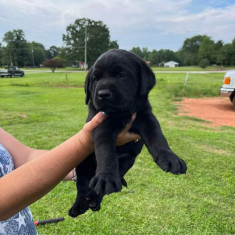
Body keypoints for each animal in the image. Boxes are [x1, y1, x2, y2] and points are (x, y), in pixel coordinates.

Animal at [68, 48, 187, 218]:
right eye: (95, 79)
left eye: (122, 75)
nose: (103, 94)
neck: (122, 113)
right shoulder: (101, 122)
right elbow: (105, 150)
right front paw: (106, 177)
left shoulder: (146, 116)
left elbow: (158, 137)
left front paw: (170, 158)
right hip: (83, 163)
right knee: (83, 184)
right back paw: (80, 205)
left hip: (127, 160)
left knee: (105, 183)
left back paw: (94, 199)